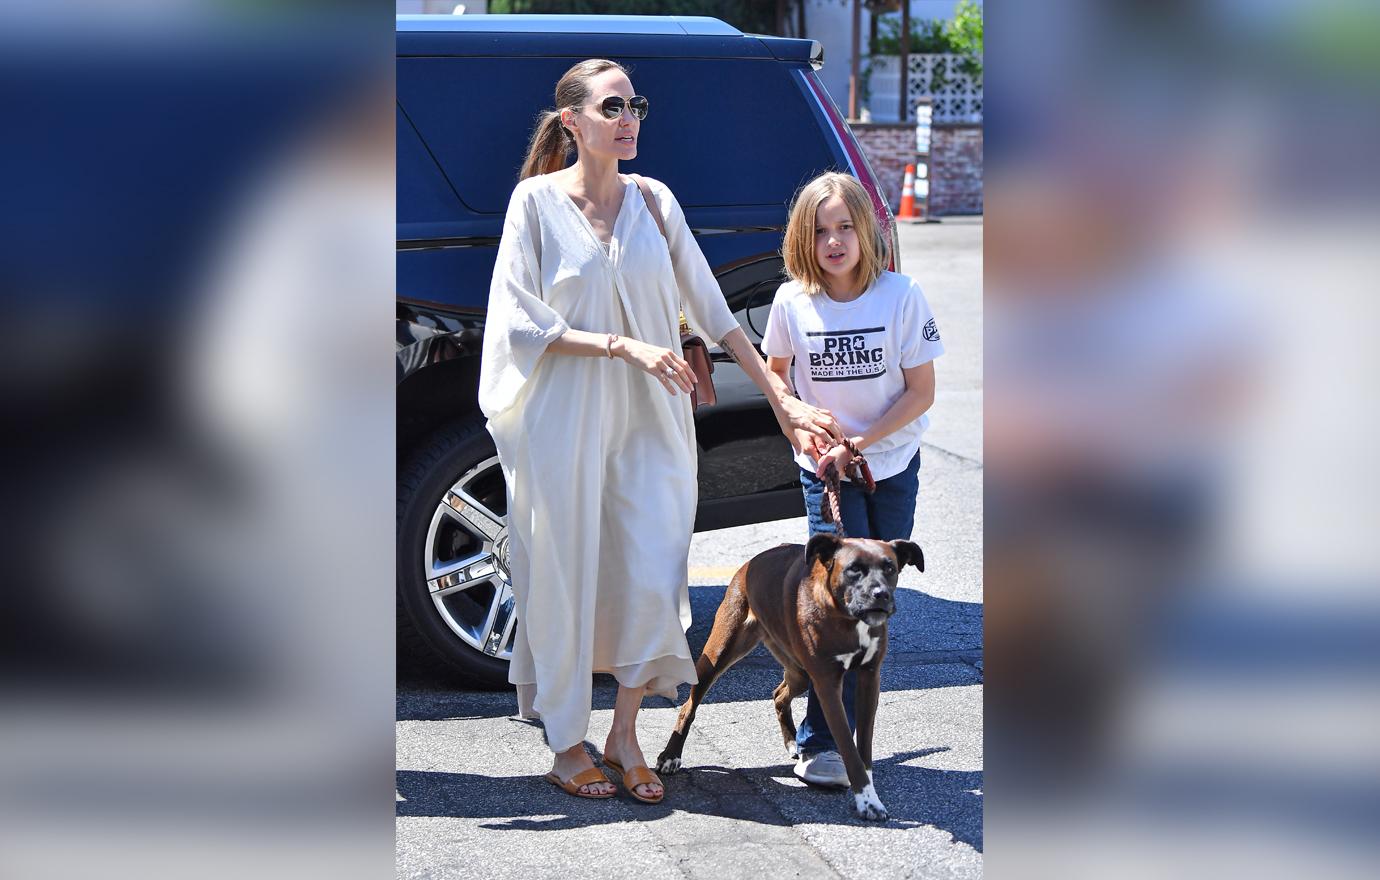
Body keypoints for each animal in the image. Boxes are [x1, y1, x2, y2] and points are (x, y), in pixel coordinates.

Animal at [651, 535, 921, 822]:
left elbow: (864, 747)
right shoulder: (827, 684)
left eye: (890, 567)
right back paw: (670, 756)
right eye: (854, 569)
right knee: (688, 706)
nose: (881, 594)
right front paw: (867, 801)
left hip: (799, 670)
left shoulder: (869, 679)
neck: (846, 616)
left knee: (779, 695)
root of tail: (751, 562)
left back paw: (792, 741)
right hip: (718, 654)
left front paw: (870, 794)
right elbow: (848, 747)